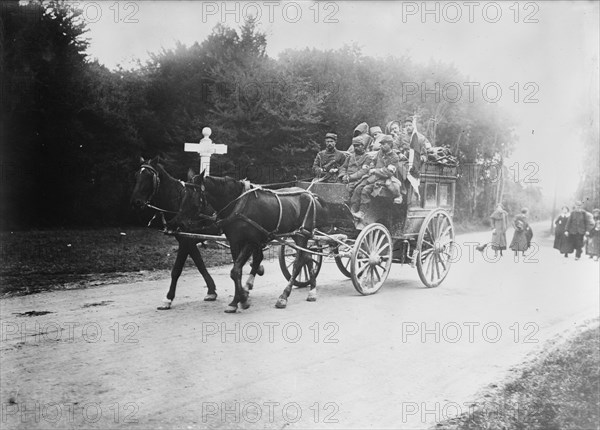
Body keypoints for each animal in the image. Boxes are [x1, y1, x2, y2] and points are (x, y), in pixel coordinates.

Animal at [129, 157, 220, 310]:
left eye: (149, 176)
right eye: (136, 175)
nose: (136, 202)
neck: (179, 202)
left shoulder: (186, 241)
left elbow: (176, 270)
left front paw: (168, 299)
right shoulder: (187, 240)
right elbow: (200, 265)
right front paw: (211, 290)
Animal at [171, 171, 330, 312]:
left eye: (192, 195)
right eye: (182, 194)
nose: (179, 222)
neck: (237, 204)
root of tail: (310, 195)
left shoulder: (250, 241)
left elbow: (236, 270)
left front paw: (240, 300)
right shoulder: (235, 242)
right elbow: (237, 271)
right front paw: (239, 299)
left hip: (302, 234)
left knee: (299, 262)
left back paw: (284, 296)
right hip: (299, 235)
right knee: (307, 257)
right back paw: (312, 290)